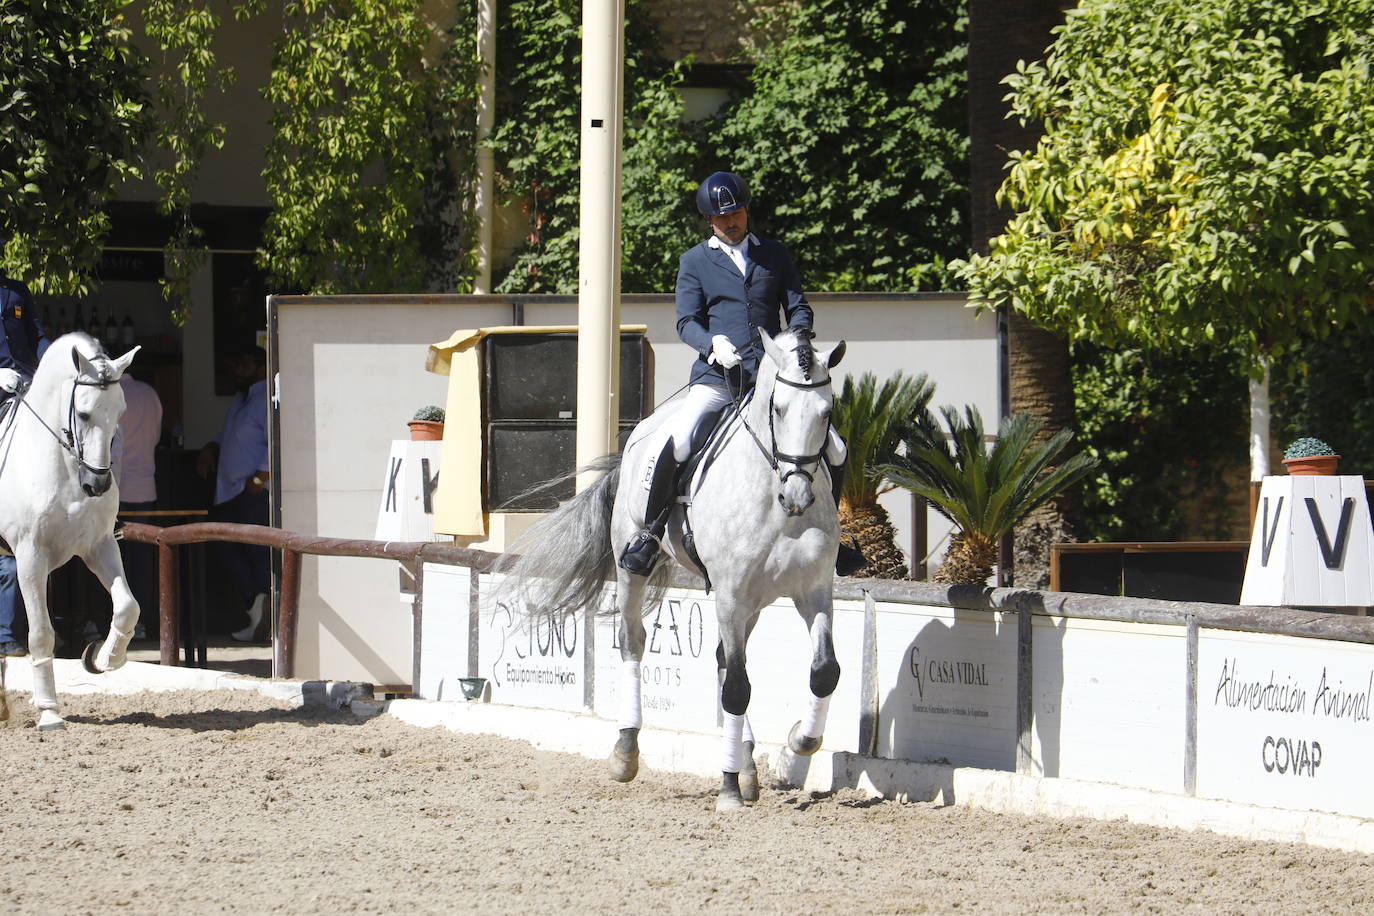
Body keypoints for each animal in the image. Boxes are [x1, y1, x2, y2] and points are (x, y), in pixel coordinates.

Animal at [0, 333, 142, 725]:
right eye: (83, 413)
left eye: (121, 413)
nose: (98, 484)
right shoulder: (30, 557)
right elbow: (40, 633)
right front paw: (49, 711)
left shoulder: (99, 545)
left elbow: (128, 606)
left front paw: (106, 657)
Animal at [497, 328, 835, 807]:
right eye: (779, 409)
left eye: (827, 412)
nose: (798, 497)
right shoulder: (731, 594)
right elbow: (737, 688)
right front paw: (728, 790)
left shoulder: (813, 590)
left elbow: (823, 672)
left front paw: (799, 742)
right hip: (636, 570)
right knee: (635, 642)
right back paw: (626, 751)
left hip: (753, 600)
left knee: (726, 660)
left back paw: (748, 765)